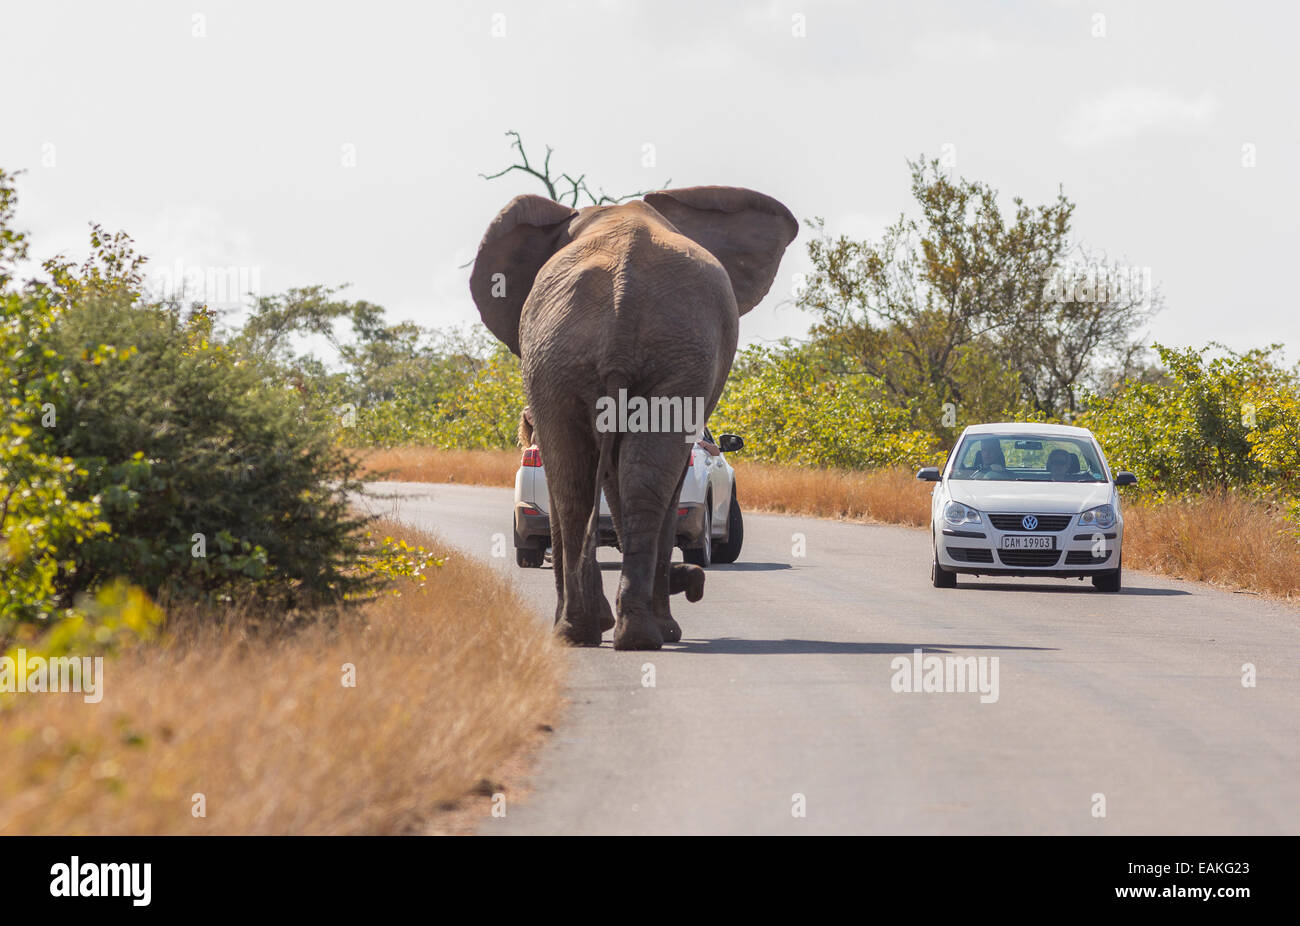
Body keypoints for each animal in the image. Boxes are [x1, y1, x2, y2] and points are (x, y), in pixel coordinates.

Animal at [473, 184, 795, 650]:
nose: (694, 583)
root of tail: (622, 301)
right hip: (601, 354)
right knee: (623, 480)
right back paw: (627, 633)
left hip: (570, 354)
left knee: (584, 480)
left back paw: (592, 632)